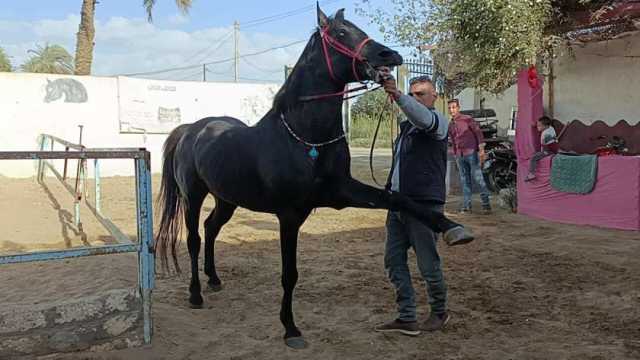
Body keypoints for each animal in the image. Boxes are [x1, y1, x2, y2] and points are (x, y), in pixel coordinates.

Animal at [158, 5, 472, 348]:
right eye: (341, 33)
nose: (390, 55)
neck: (304, 138)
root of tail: (191, 130)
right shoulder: (288, 215)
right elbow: (289, 274)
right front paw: (291, 329)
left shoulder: (343, 192)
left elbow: (400, 198)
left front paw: (453, 228)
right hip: (193, 196)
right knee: (193, 239)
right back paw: (195, 295)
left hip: (227, 199)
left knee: (211, 228)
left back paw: (214, 279)